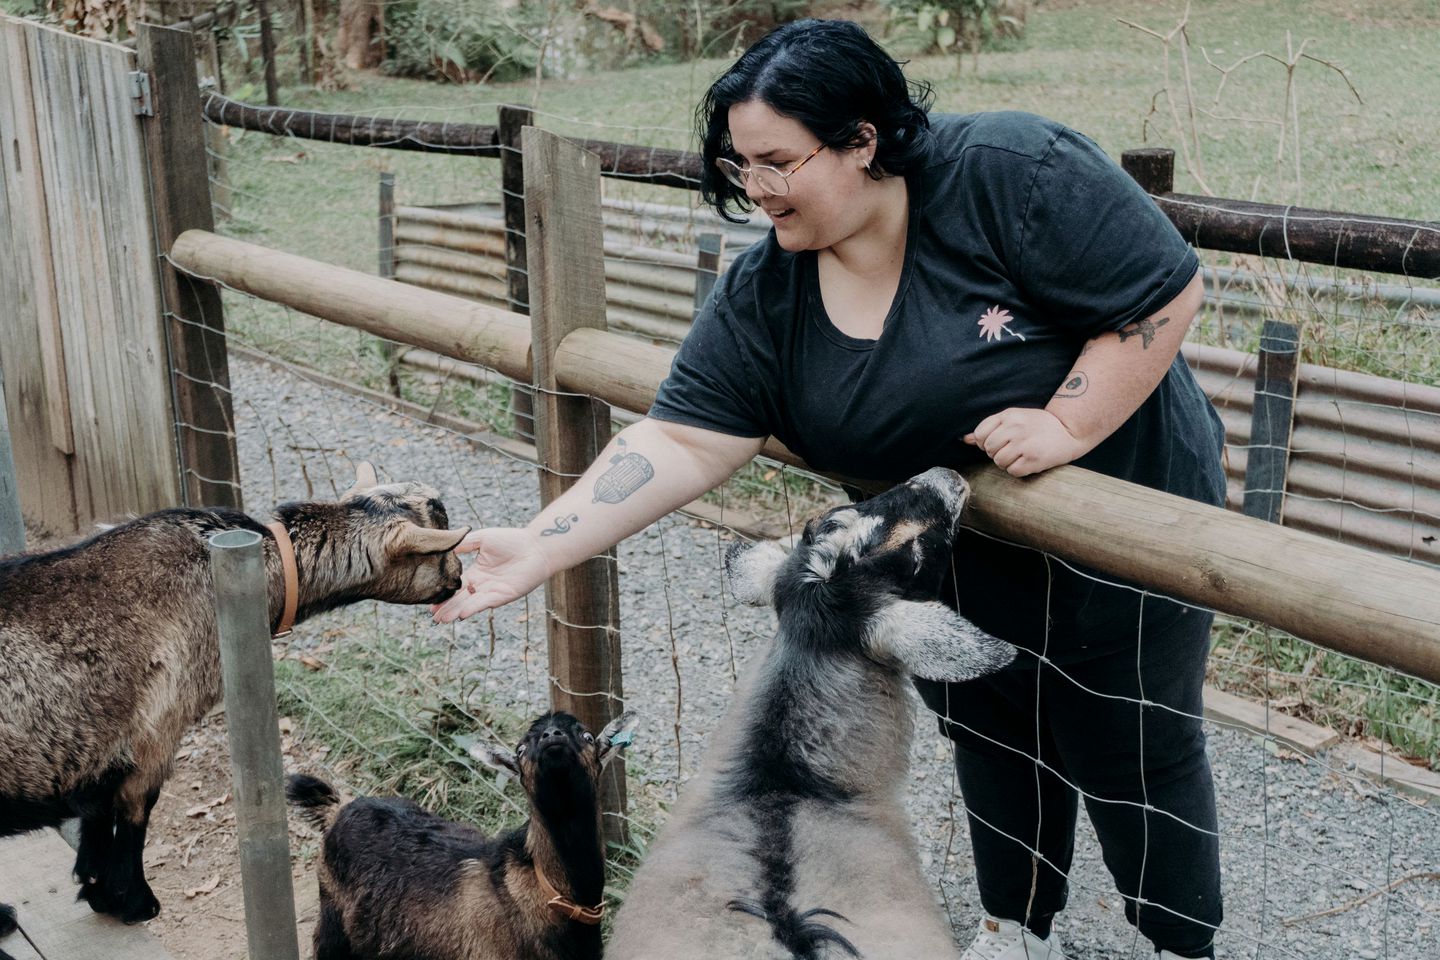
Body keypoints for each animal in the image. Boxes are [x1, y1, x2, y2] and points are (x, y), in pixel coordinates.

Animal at [0, 466, 463, 955]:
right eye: (442, 545)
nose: (461, 577)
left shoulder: (104, 743)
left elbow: (96, 811)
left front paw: (96, 889)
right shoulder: (157, 733)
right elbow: (135, 812)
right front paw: (135, 902)